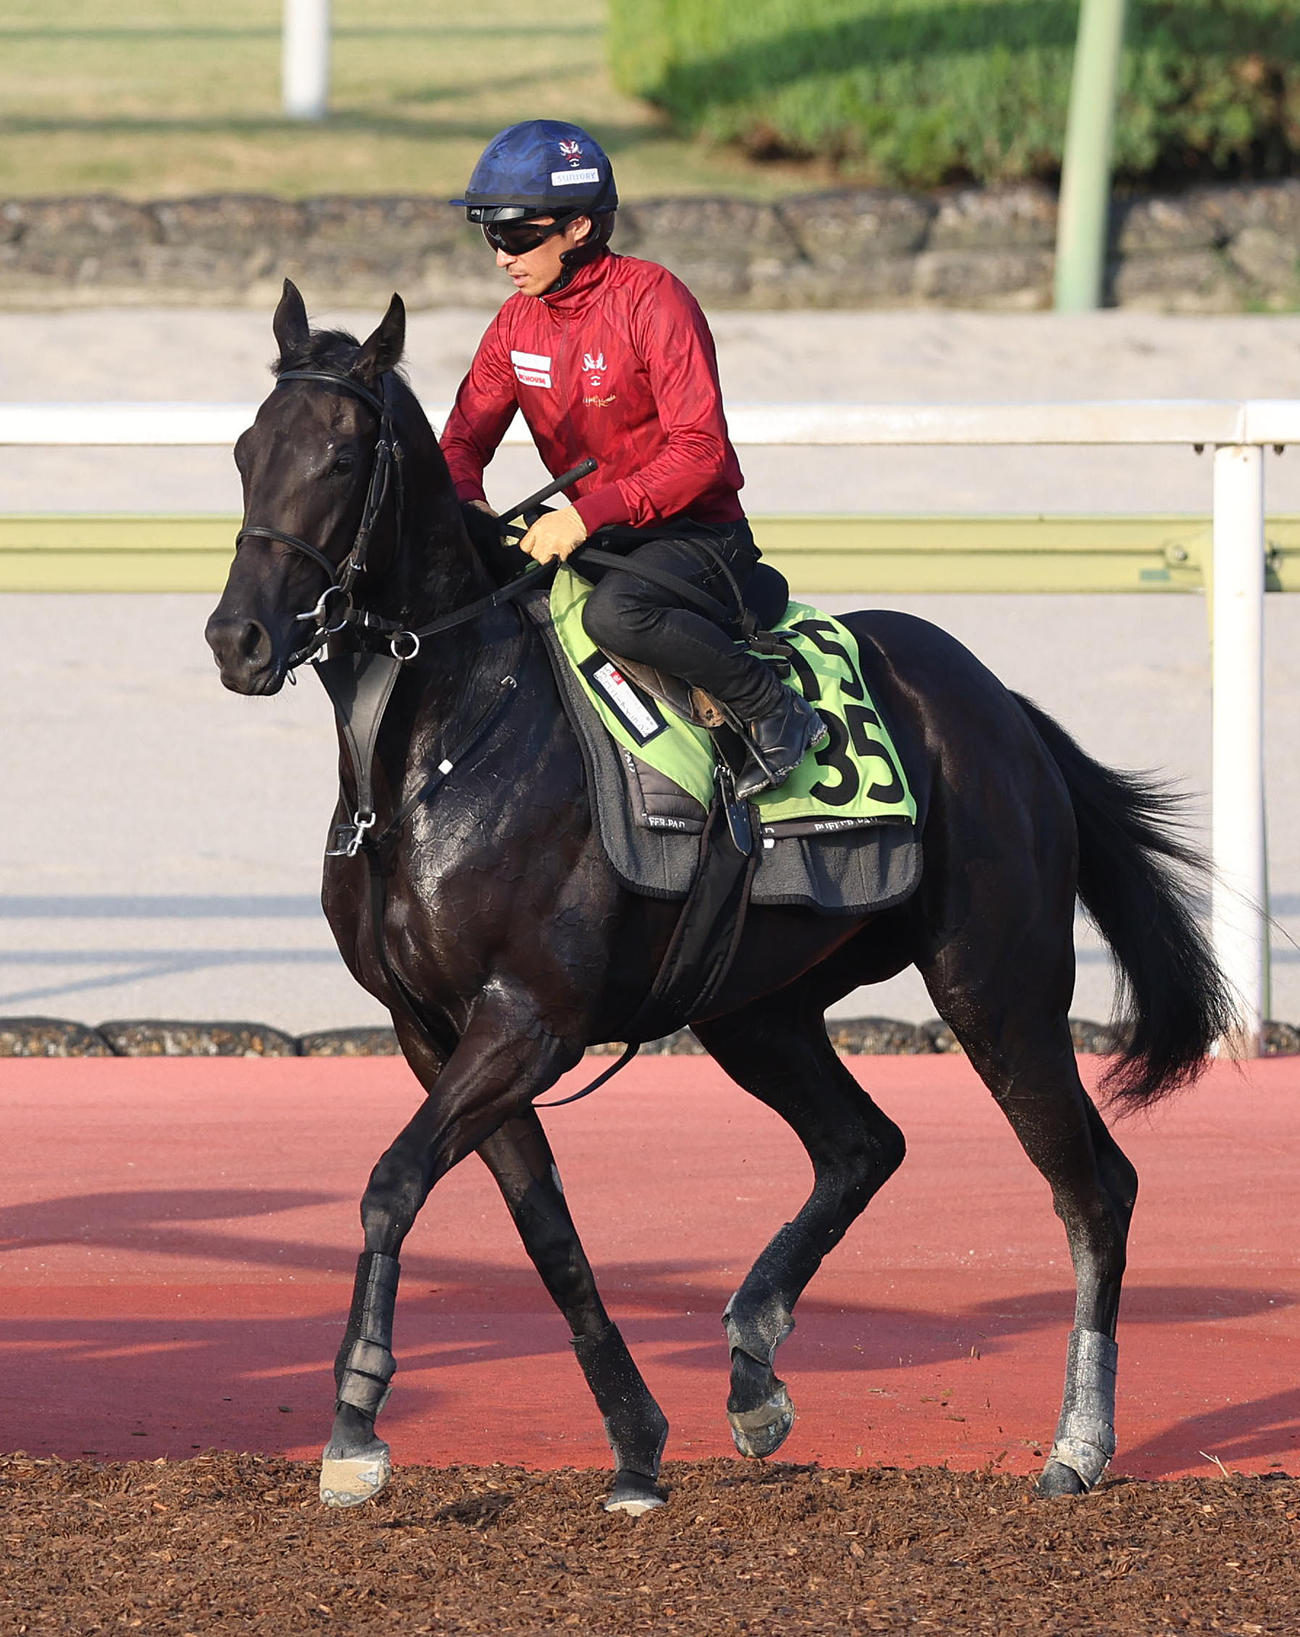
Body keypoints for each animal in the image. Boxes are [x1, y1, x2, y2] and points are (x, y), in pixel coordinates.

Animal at [205, 280, 1234, 1515]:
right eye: (245, 449)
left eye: (345, 455)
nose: (237, 638)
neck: (440, 748)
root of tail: (1005, 711)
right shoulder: (434, 1030)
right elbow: (546, 1233)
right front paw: (637, 1440)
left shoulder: (527, 1021)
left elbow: (392, 1182)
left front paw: (356, 1425)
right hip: (756, 1006)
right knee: (864, 1143)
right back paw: (752, 1364)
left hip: (999, 988)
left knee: (1093, 1188)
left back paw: (1077, 1440)